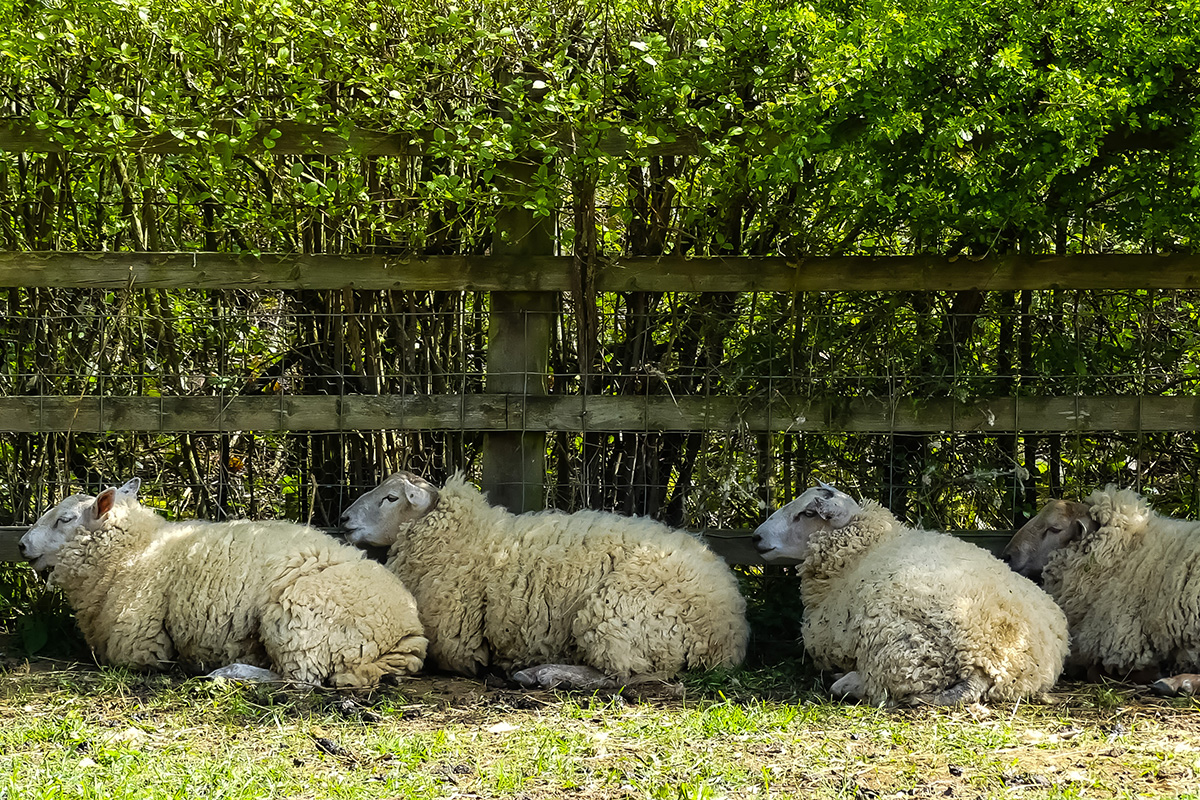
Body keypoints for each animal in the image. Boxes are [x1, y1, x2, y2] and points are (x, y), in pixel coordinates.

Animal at [18, 474, 427, 690]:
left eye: (65, 520)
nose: (21, 544)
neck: (136, 552)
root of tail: (408, 632)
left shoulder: (141, 646)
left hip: (300, 618)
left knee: (298, 681)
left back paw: (228, 674)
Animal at [340, 472, 748, 686]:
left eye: (392, 498)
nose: (343, 519)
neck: (469, 538)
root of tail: (730, 631)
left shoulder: (458, 646)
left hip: (618, 613)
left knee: (619, 674)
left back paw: (543, 673)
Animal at [748, 484, 1070, 705]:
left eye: (807, 513)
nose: (756, 537)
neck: (864, 550)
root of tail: (990, 659)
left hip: (900, 648)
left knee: (890, 685)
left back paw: (846, 682)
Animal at [1003, 484, 1200, 695]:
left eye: (1055, 528)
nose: (1007, 555)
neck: (1127, 553)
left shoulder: (1124, 642)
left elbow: (1095, 672)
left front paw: (1155, 672)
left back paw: (1177, 683)